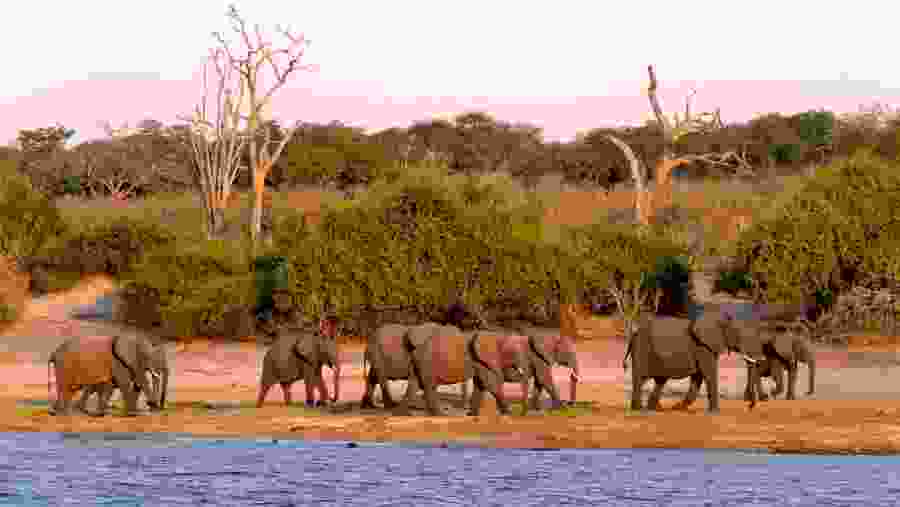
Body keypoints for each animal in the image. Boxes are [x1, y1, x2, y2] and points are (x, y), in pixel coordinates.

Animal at [625, 311, 766, 414]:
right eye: (740, 336)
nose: (749, 406)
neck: (723, 318)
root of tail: (634, 331)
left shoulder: (706, 348)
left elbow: (698, 377)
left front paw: (678, 408)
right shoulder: (702, 347)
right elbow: (709, 374)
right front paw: (715, 412)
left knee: (660, 380)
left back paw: (653, 408)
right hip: (642, 348)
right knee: (640, 378)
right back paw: (639, 409)